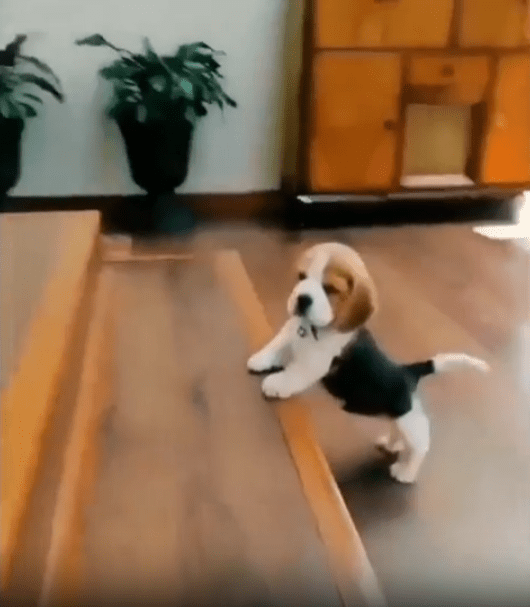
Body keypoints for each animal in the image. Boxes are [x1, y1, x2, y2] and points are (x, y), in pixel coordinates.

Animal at [247, 242, 490, 484]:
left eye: (330, 288)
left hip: (409, 420)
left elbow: (293, 374)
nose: (302, 299)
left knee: (421, 444)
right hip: (396, 416)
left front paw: (275, 383)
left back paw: (406, 471)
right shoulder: (289, 334)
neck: (313, 328)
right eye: (301, 276)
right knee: (397, 432)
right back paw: (391, 444)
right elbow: (276, 345)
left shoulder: (314, 363)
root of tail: (408, 371)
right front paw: (260, 360)